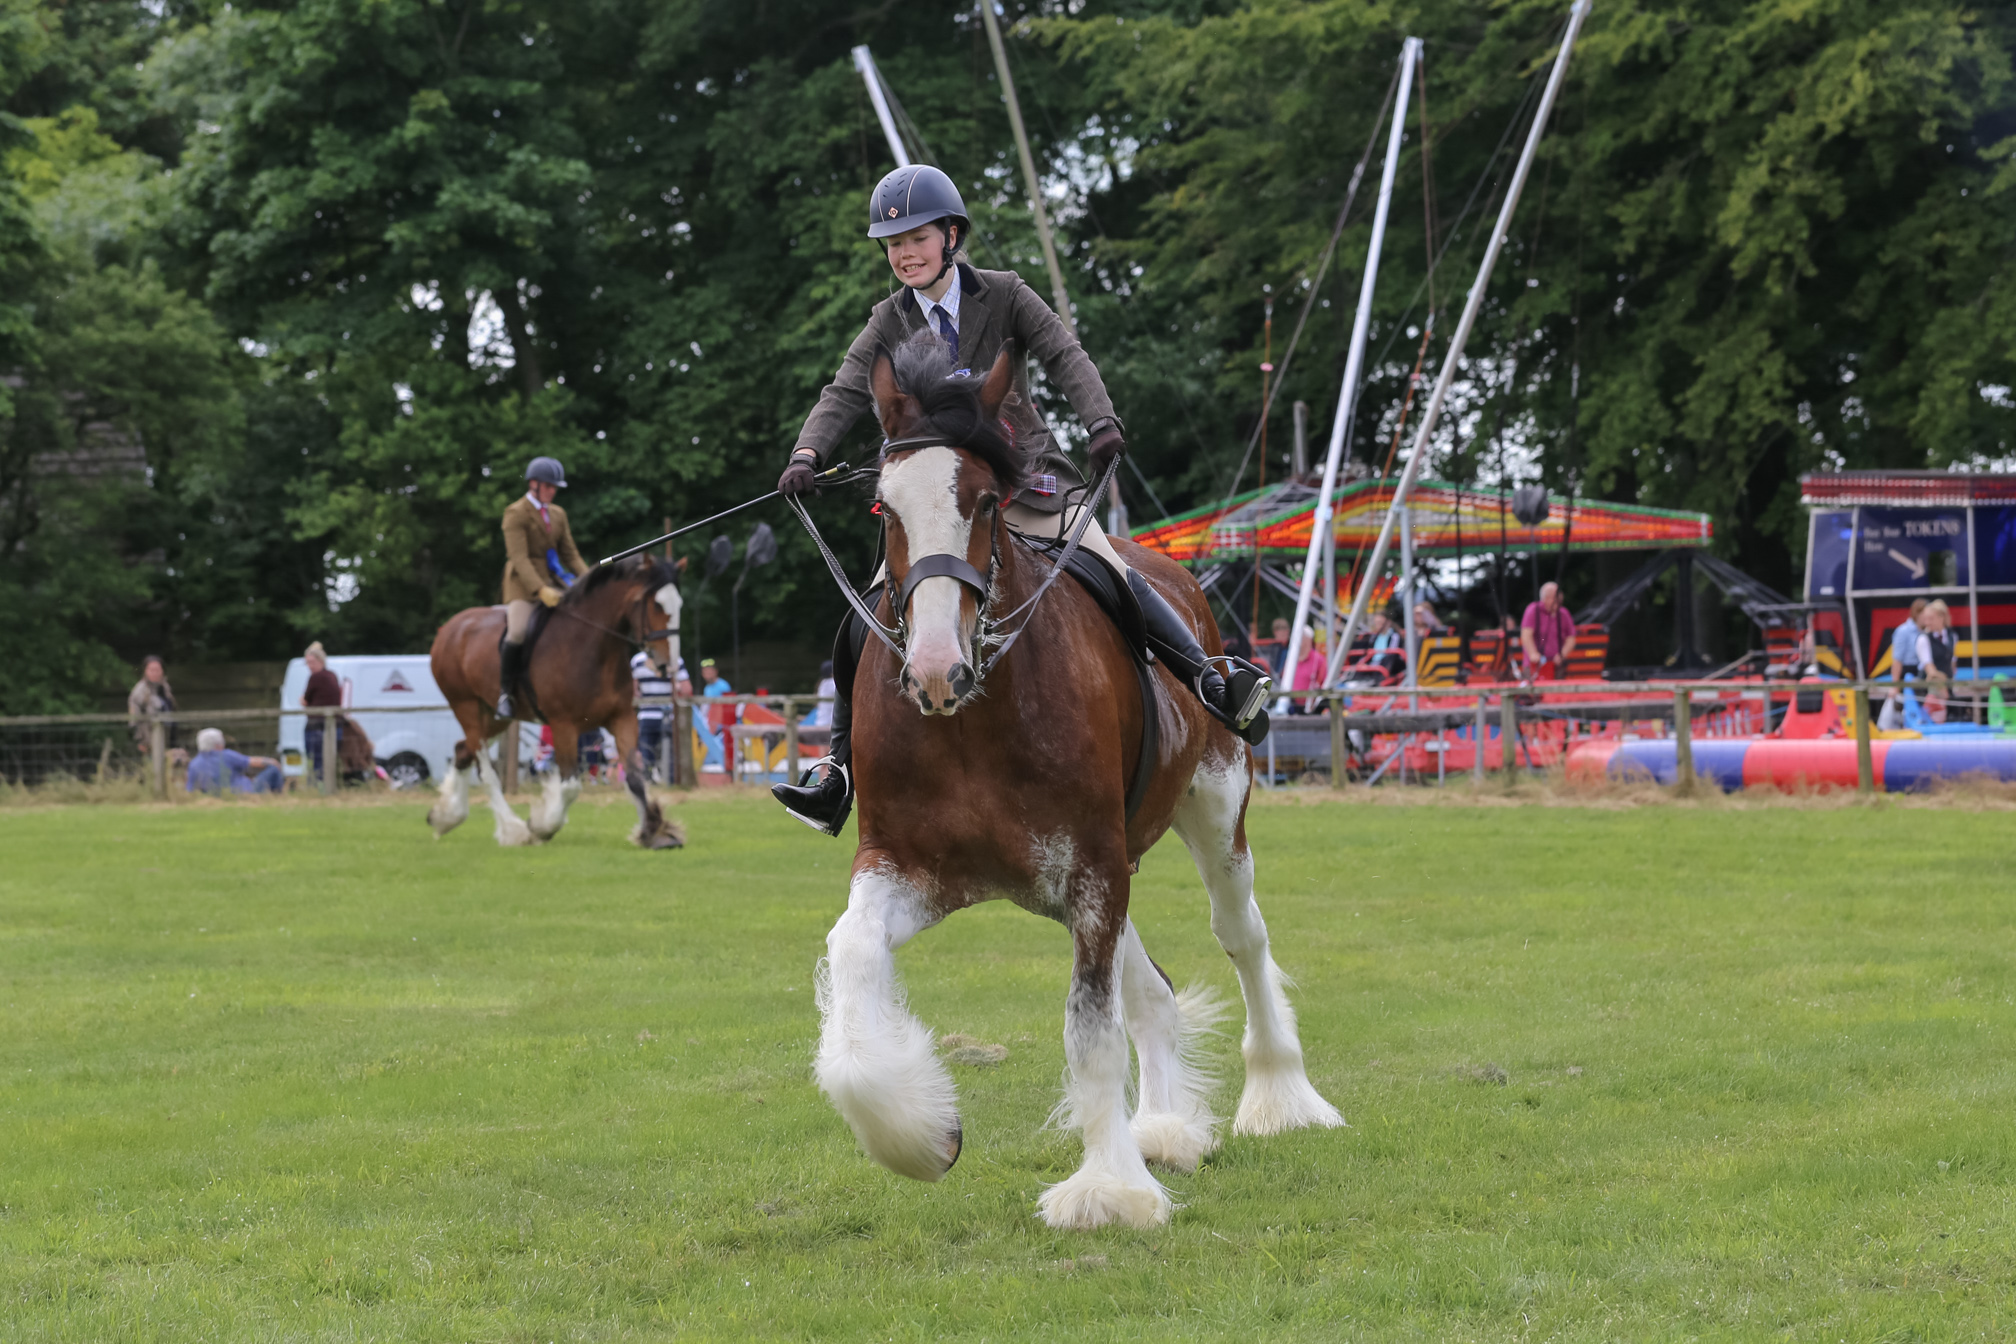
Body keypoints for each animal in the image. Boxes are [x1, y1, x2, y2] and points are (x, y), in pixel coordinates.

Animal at [426, 554, 687, 849]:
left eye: (679, 604)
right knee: (485, 768)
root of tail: (449, 628)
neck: (593, 647)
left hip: (494, 717)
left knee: (462, 750)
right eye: (655, 604)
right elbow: (571, 786)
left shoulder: (621, 718)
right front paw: (541, 827)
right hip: (467, 707)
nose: (668, 664)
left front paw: (655, 832)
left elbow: (634, 777)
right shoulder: (563, 726)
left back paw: (447, 817)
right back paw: (512, 829)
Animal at [811, 335, 1342, 1231]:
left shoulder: (1092, 870)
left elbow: (1089, 1030)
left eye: (987, 501)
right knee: (1153, 991)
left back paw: (1281, 1098)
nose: (935, 669)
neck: (974, 718)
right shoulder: (906, 868)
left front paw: (1111, 1191)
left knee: (1241, 937)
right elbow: (850, 957)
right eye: (884, 509)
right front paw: (923, 1136)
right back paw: (1164, 1128)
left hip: (1211, 812)